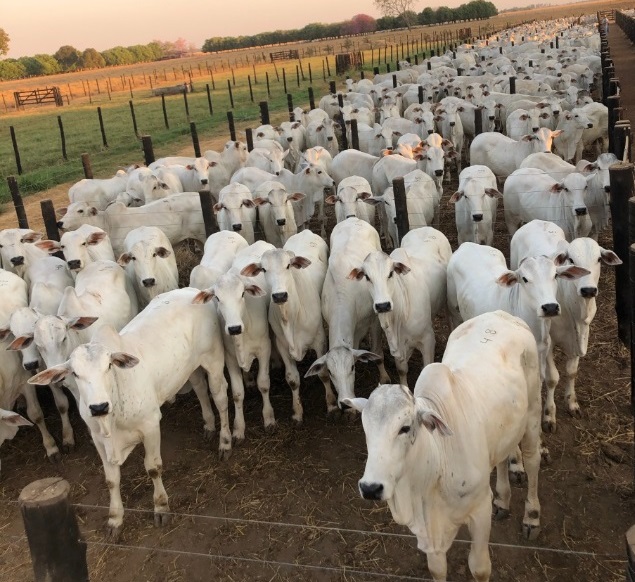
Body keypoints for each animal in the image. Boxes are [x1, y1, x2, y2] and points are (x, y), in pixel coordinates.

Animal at [29, 288, 230, 544]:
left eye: (108, 366)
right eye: (75, 373)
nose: (98, 407)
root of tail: (193, 291)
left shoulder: (151, 425)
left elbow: (153, 467)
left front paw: (161, 507)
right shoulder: (98, 439)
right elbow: (111, 479)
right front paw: (115, 520)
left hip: (213, 360)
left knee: (220, 397)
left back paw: (225, 442)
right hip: (189, 368)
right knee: (201, 389)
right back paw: (209, 426)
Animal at [348, 229, 452, 388]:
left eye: (391, 273)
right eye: (367, 277)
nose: (382, 305)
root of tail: (428, 229)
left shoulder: (428, 338)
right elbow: (402, 370)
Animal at [348, 310, 540, 582]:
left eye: (405, 427)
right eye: (366, 427)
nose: (371, 488)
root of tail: (501, 314)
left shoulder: (480, 509)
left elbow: (479, 567)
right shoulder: (429, 534)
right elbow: (436, 569)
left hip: (533, 411)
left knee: (533, 460)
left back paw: (532, 517)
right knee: (503, 457)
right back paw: (503, 500)